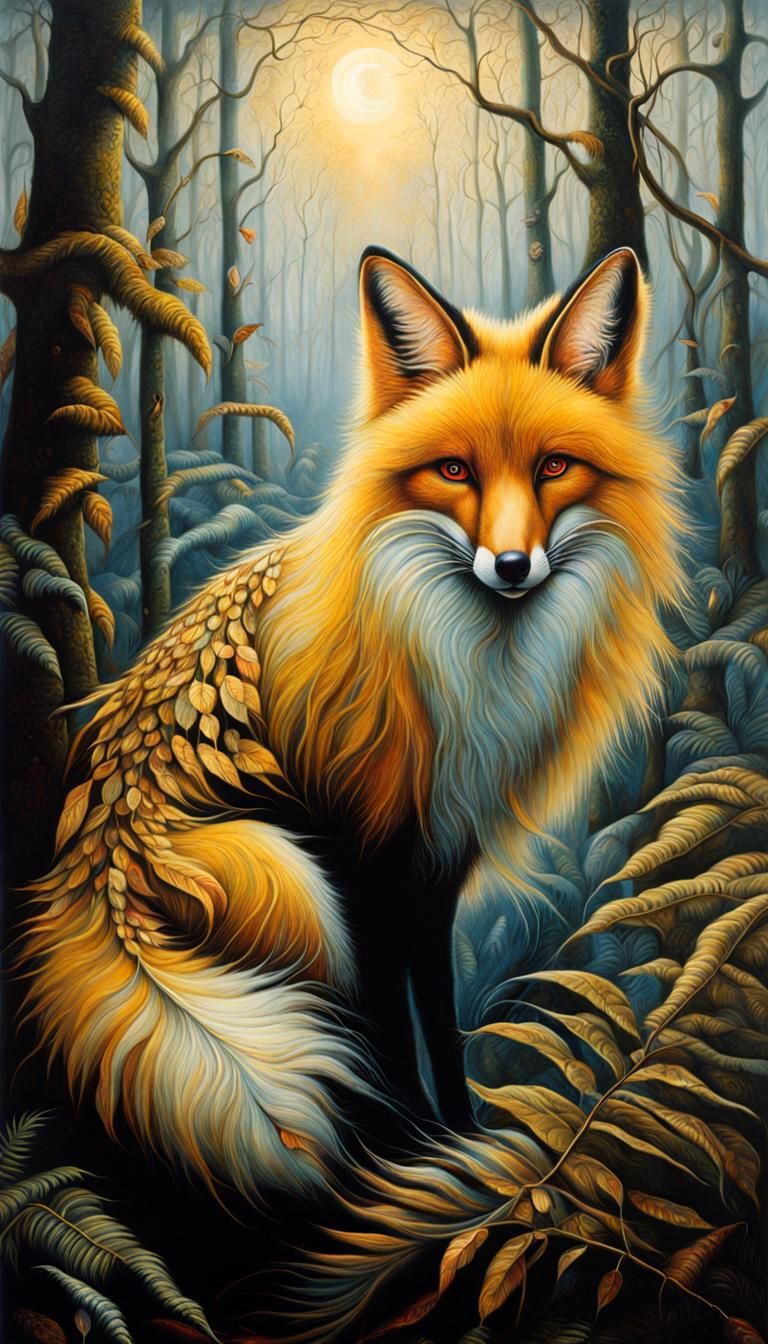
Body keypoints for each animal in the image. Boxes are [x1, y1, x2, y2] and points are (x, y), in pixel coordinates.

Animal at [21, 244, 685, 1200]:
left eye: (554, 468)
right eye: (455, 472)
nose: (510, 565)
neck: (461, 668)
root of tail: (92, 869)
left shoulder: (437, 860)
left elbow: (438, 1019)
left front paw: (461, 1136)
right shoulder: (360, 859)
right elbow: (386, 1031)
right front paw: (418, 1156)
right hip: (281, 870)